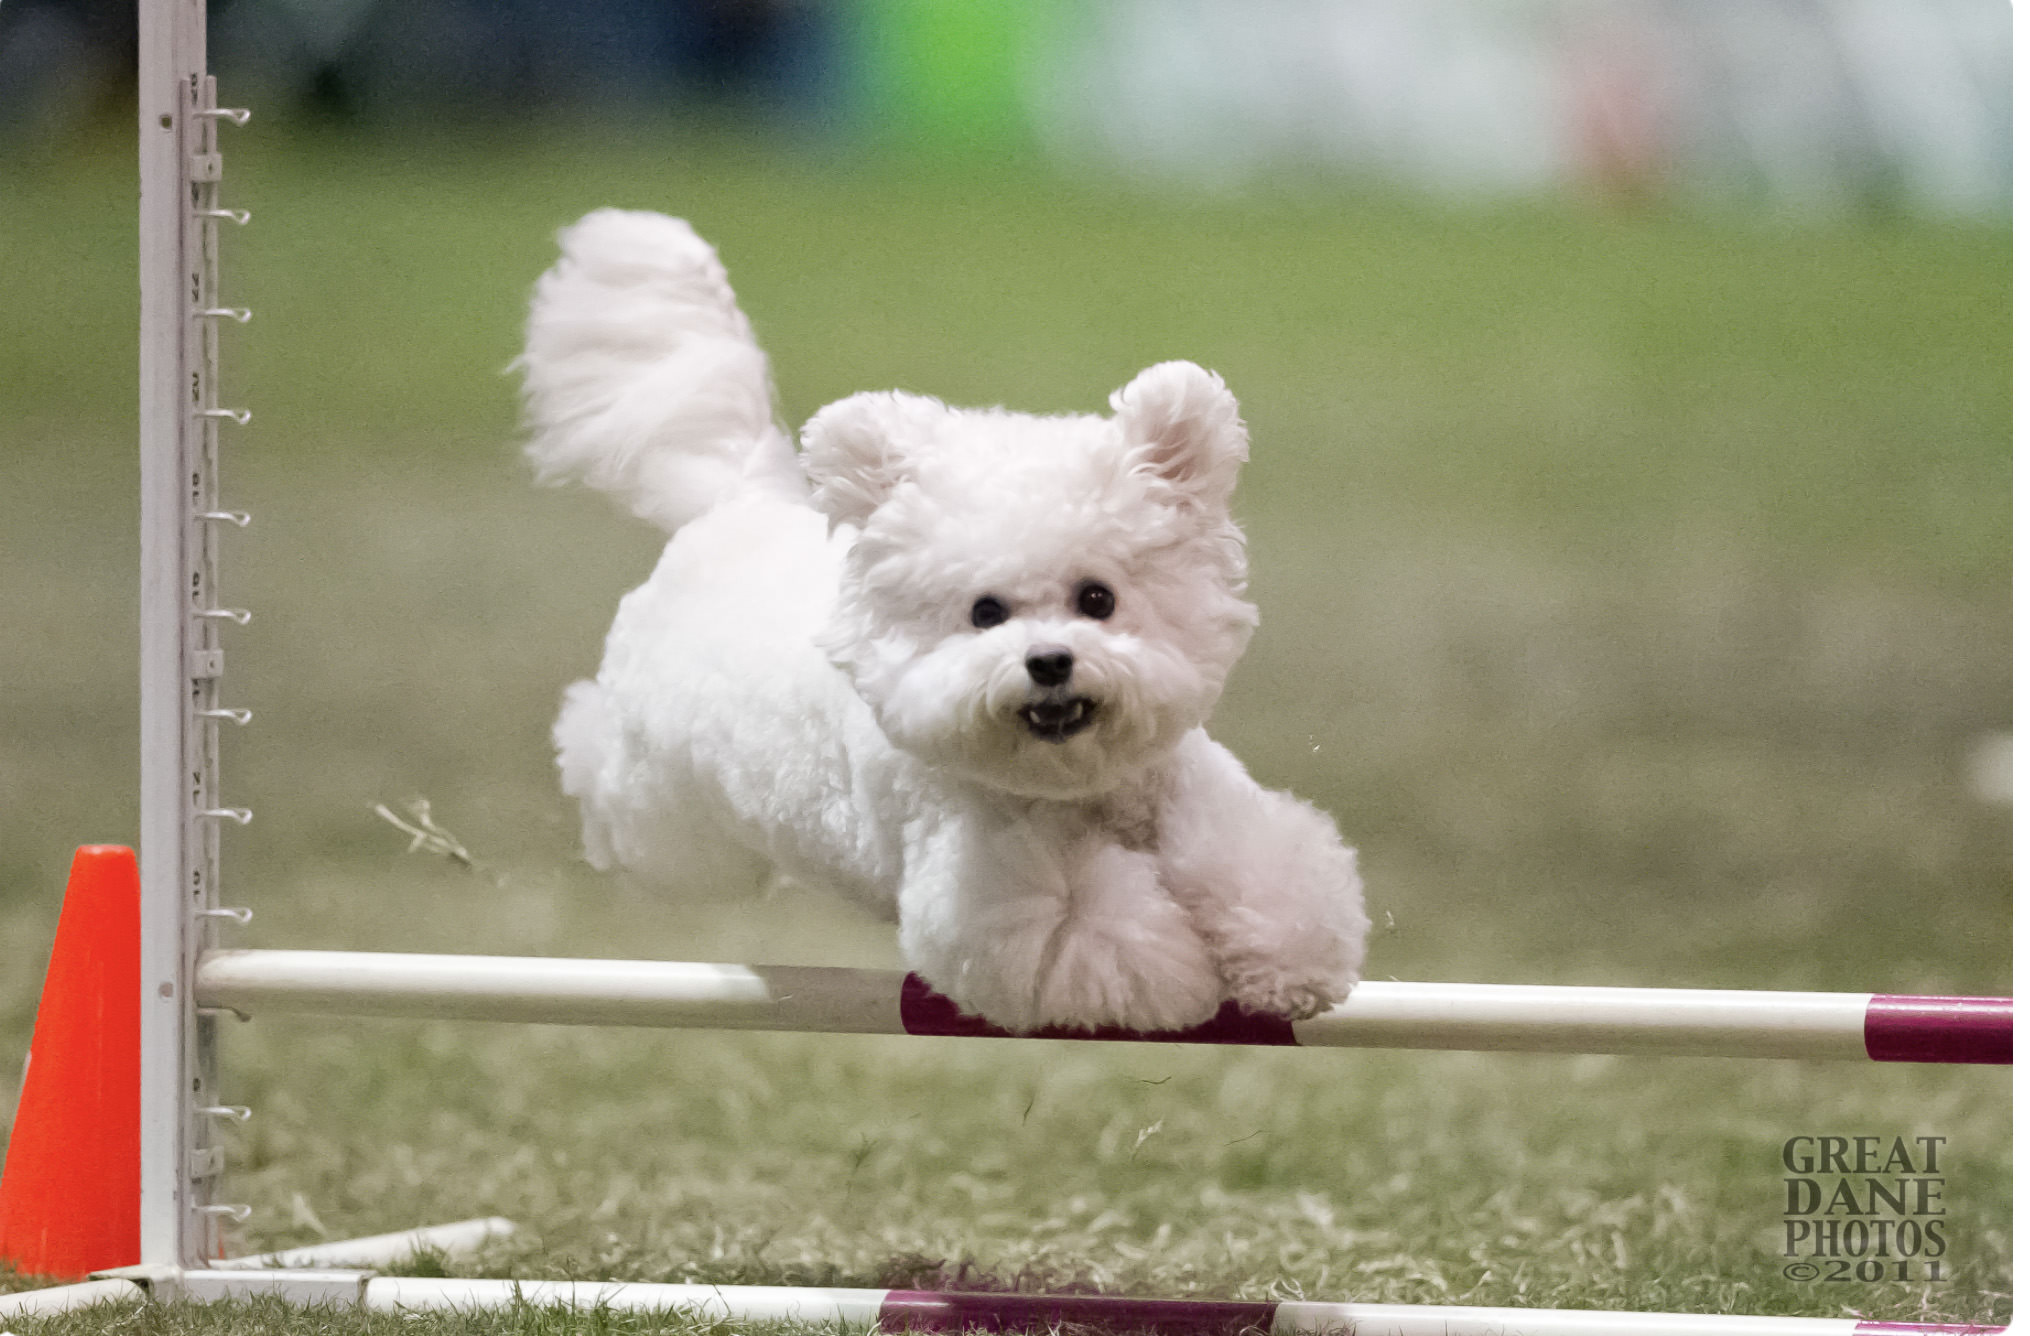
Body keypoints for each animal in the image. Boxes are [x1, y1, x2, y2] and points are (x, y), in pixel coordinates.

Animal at [515, 208, 1372, 1031]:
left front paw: (1291, 970)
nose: (1049, 661)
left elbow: (1259, 868)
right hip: (667, 816)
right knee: (601, 762)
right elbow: (1094, 924)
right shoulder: (1000, 890)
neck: (1076, 790)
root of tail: (738, 499)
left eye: (1097, 598)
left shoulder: (1198, 796)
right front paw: (1185, 978)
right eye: (984, 612)